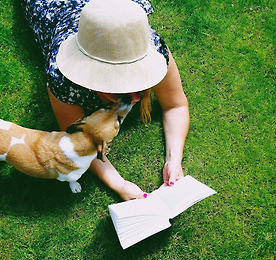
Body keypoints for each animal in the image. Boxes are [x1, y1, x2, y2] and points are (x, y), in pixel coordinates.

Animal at [0, 97, 133, 193]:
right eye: (119, 120)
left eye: (107, 106)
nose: (128, 97)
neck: (82, 140)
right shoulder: (68, 177)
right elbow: (72, 181)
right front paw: (75, 187)